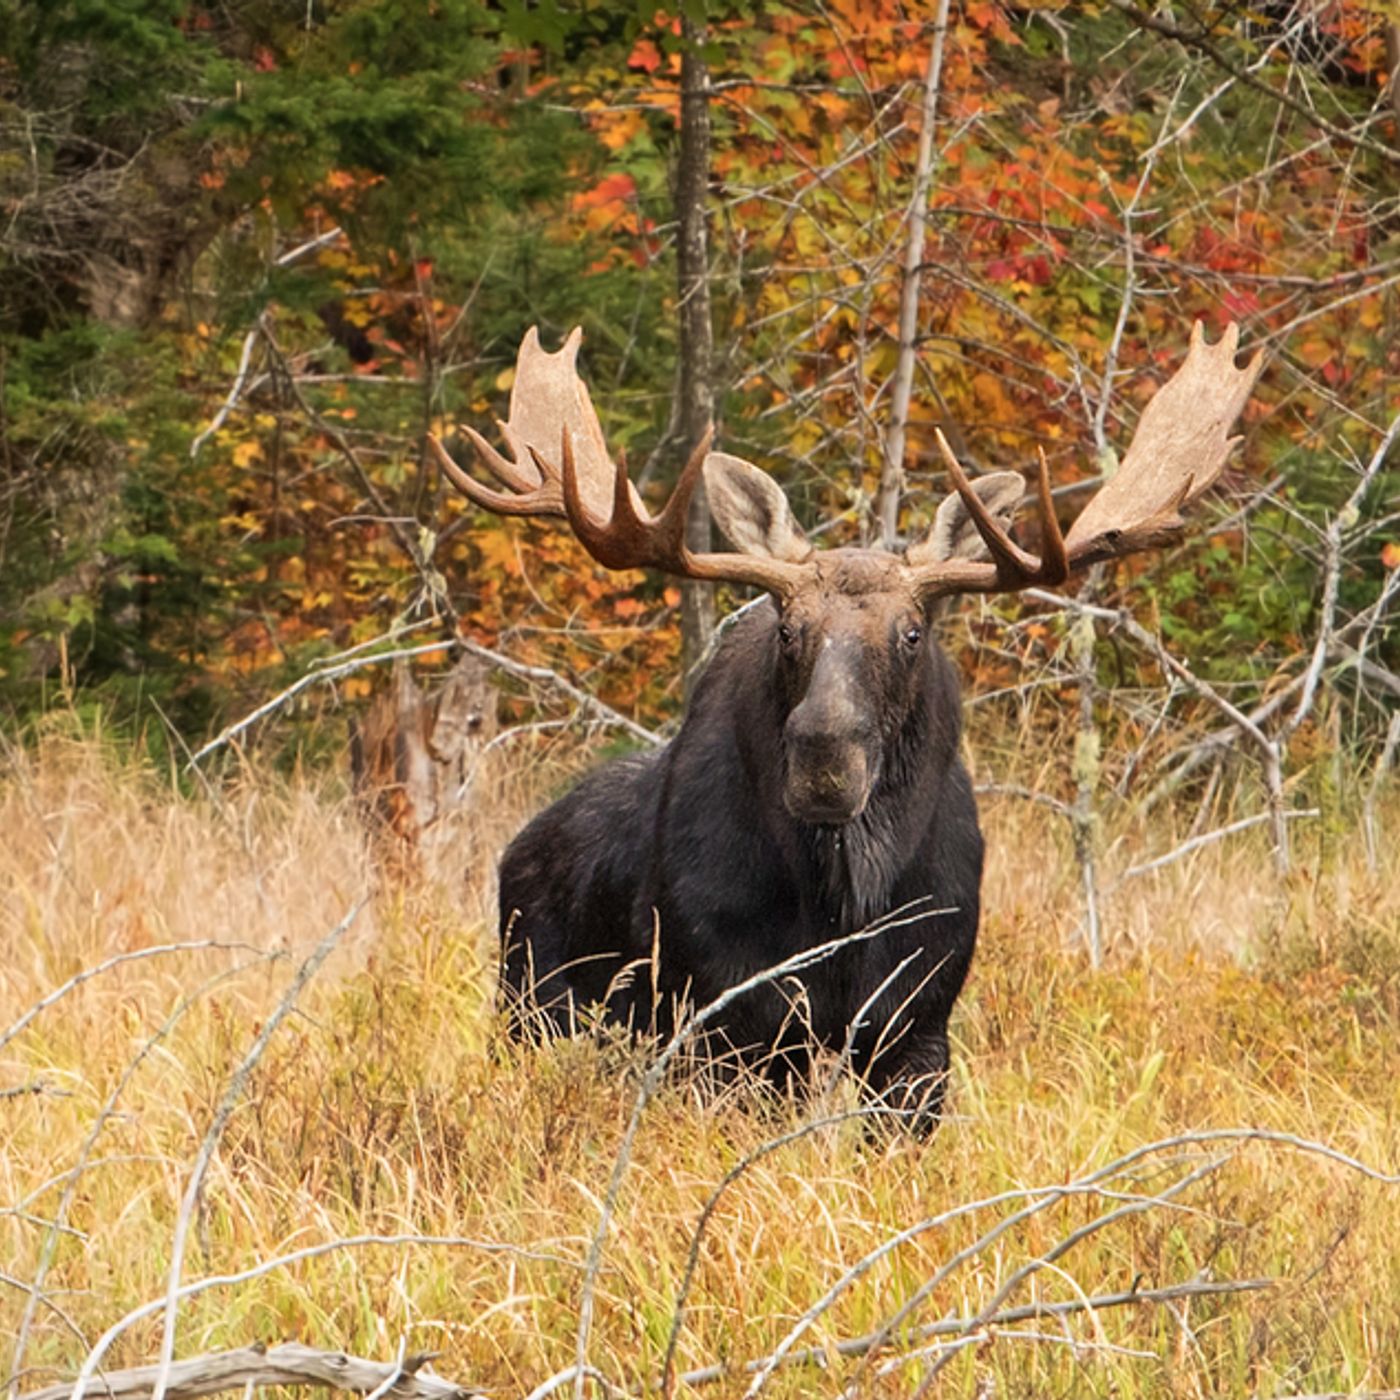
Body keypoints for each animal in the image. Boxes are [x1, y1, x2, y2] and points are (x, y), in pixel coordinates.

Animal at [428, 321, 1261, 1131]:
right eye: (788, 628)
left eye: (912, 633)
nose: (825, 757)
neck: (843, 898)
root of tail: (518, 850)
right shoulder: (732, 1023)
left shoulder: (917, 1025)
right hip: (531, 1006)